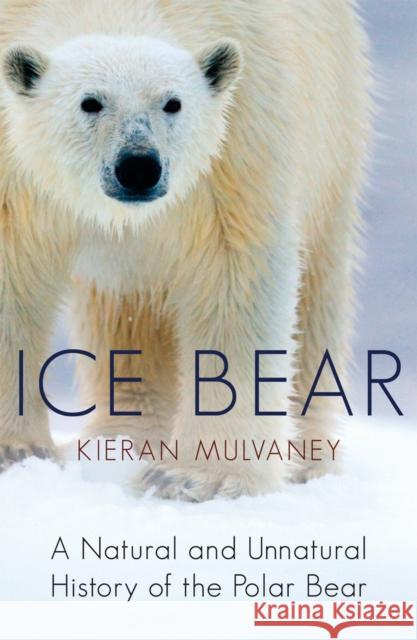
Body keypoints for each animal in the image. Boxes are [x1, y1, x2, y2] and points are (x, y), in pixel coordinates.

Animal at [0, 0, 372, 500]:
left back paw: (306, 461)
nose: (138, 166)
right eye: (90, 102)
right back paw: (122, 439)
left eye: (172, 102)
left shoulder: (238, 140)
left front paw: (197, 478)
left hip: (335, 133)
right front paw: (17, 452)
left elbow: (231, 277)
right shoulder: (13, 172)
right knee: (125, 311)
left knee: (316, 298)